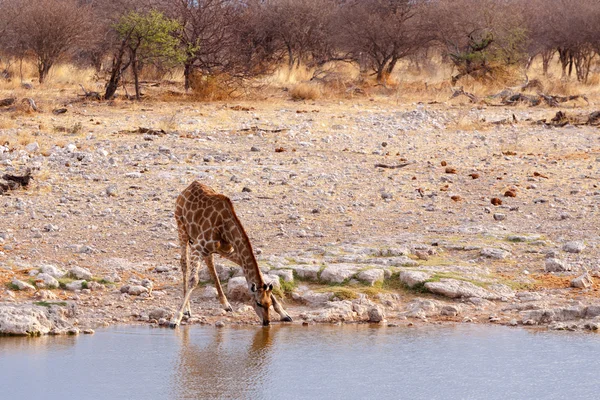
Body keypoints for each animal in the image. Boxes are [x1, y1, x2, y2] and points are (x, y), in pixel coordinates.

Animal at [169, 181, 292, 328]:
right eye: (258, 303)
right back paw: (187, 310)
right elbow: (194, 280)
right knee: (184, 264)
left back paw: (226, 304)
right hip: (181, 227)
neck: (226, 227)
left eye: (268, 303)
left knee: (209, 262)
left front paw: (284, 313)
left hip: (207, 247)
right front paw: (175, 319)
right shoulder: (198, 247)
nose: (266, 322)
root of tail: (188, 187)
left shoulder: (226, 249)